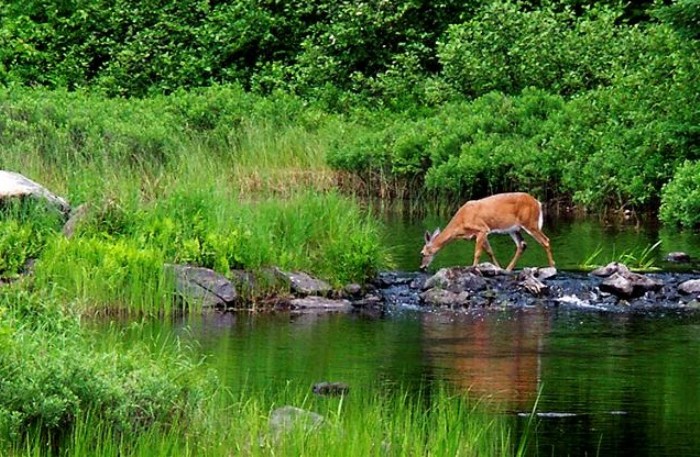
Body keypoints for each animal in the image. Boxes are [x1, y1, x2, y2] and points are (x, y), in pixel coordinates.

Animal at [418, 191, 556, 270]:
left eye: (422, 253)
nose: (421, 267)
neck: (461, 223)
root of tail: (538, 203)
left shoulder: (482, 229)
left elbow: (477, 253)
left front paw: (473, 268)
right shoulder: (479, 233)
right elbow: (490, 251)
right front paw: (498, 268)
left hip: (530, 222)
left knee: (545, 240)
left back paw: (552, 266)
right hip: (514, 229)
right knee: (522, 244)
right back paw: (508, 269)